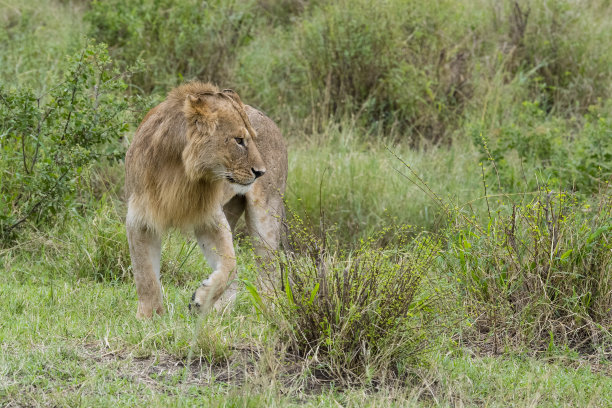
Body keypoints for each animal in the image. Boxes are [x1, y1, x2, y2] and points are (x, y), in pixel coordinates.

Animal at [125, 82, 288, 318]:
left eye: (252, 139)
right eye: (239, 140)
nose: (260, 172)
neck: (180, 170)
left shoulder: (209, 218)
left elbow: (229, 264)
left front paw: (200, 300)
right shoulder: (140, 219)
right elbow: (145, 275)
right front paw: (149, 316)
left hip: (266, 216)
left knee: (269, 267)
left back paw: (270, 310)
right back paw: (221, 310)